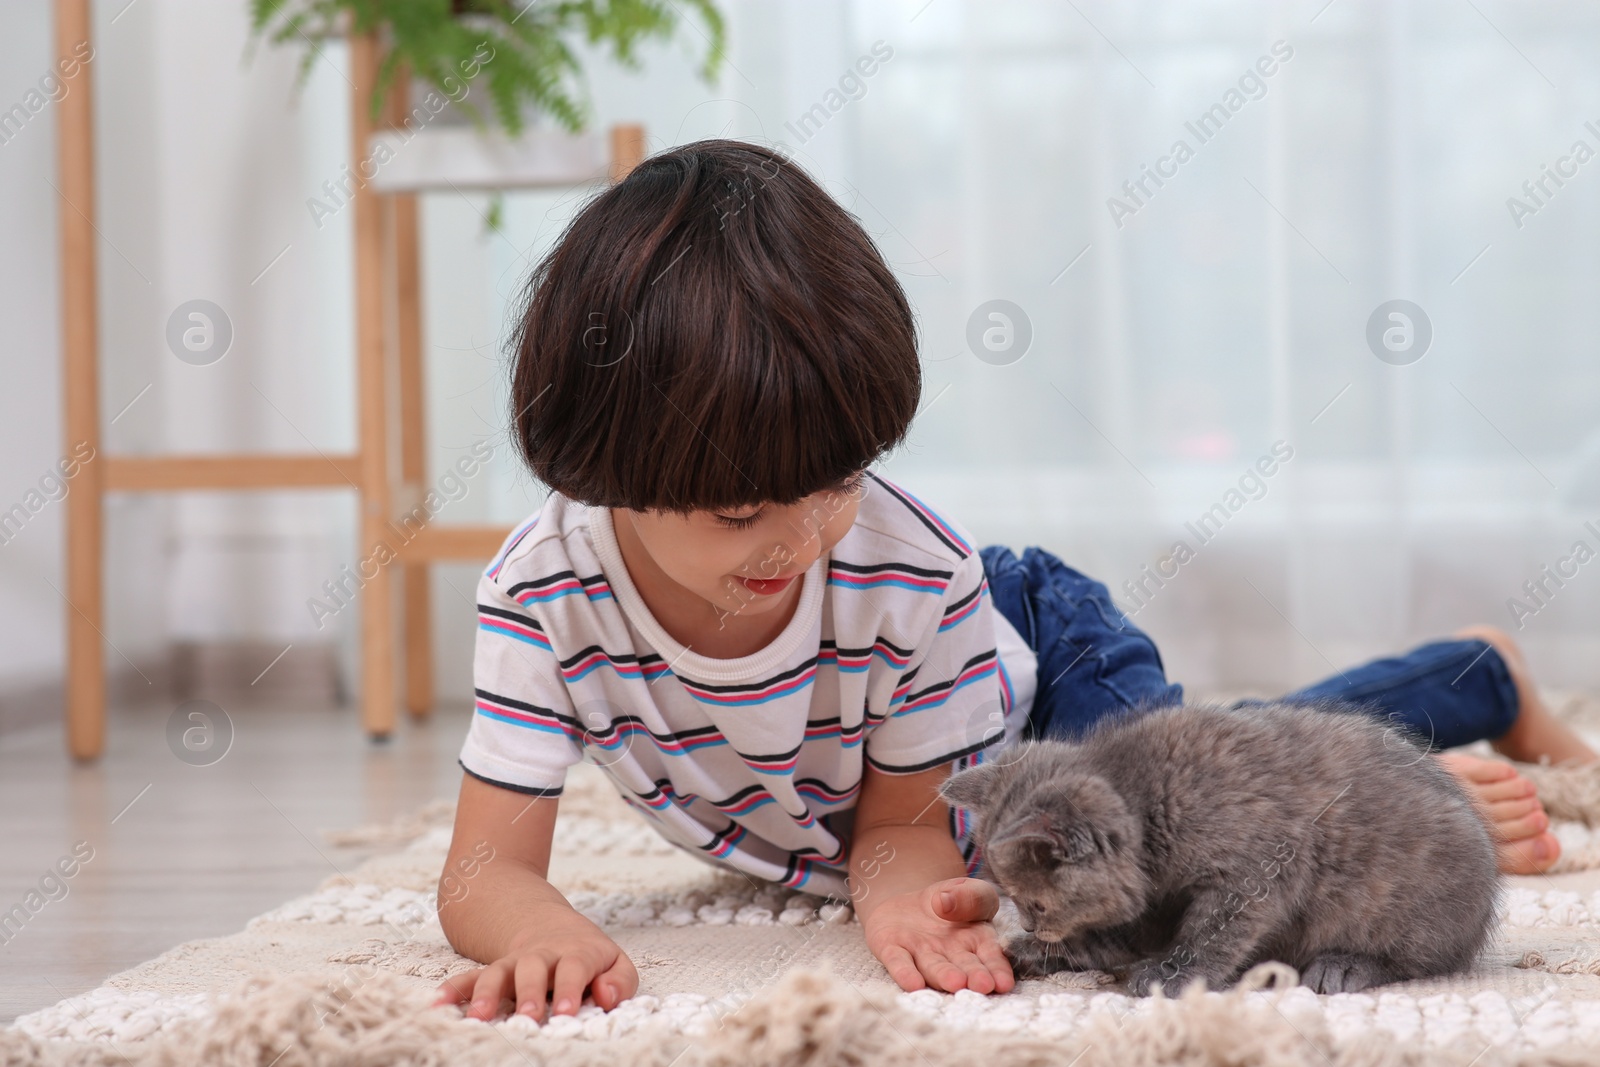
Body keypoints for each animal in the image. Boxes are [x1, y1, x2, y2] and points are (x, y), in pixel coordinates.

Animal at [934, 703, 1497, 998]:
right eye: (1012, 901)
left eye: (1036, 903)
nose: (1032, 927)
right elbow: (1117, 939)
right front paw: (1039, 953)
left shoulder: (1256, 872)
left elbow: (1212, 934)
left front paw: (1171, 975)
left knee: (1426, 961)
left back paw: (1345, 966)